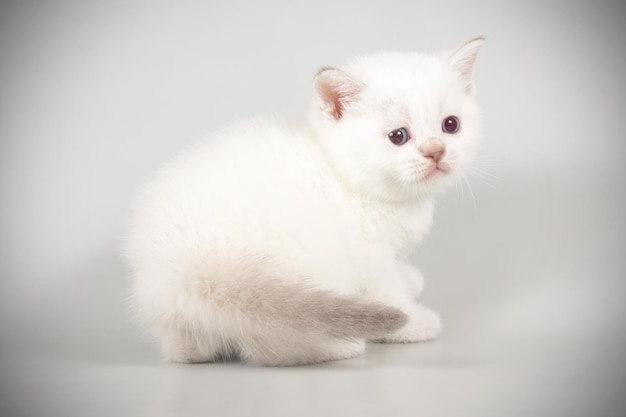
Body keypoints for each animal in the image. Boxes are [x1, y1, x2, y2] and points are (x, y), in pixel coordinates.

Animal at [123, 38, 482, 364]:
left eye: (451, 125)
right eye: (398, 136)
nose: (436, 152)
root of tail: (189, 268)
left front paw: (410, 279)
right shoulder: (368, 256)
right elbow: (387, 292)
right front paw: (412, 322)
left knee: (187, 350)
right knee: (270, 347)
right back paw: (340, 346)